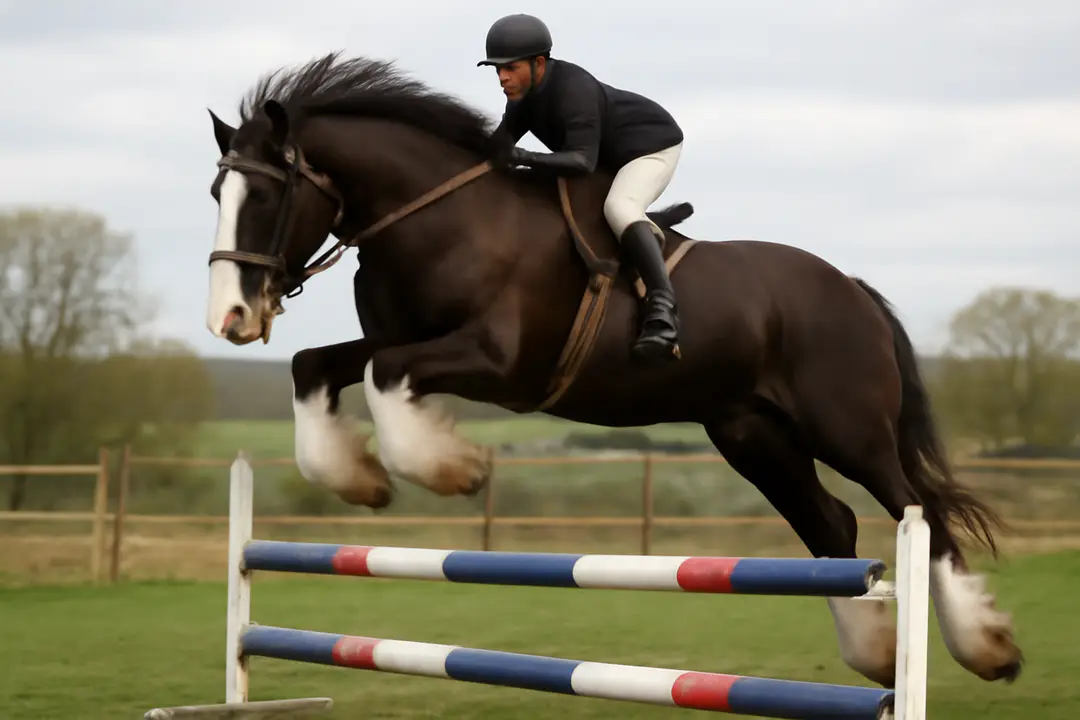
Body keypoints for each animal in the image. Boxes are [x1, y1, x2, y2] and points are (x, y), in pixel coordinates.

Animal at [203, 52, 1022, 689]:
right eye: (217, 193)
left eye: (266, 194)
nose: (230, 320)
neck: (432, 218)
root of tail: (852, 288)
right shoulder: (398, 342)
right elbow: (315, 367)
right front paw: (358, 479)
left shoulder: (492, 360)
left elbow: (384, 380)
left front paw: (451, 470)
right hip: (751, 433)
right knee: (832, 522)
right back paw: (878, 655)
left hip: (846, 428)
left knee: (920, 510)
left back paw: (986, 649)